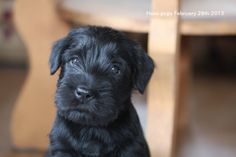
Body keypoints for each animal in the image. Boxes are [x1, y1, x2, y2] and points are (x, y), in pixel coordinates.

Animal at [48, 26, 154, 157]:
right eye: (74, 60)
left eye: (115, 69)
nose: (83, 93)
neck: (91, 129)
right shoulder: (62, 148)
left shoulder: (130, 149)